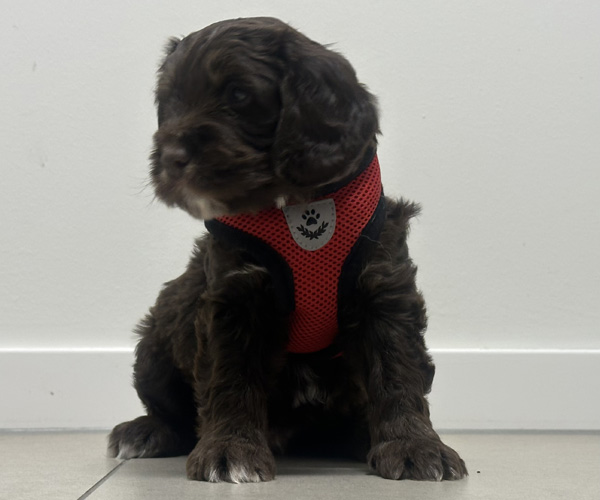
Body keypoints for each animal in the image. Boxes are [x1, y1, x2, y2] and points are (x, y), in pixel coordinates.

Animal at [108, 16, 467, 483]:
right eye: (168, 103)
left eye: (238, 95)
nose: (170, 157)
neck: (293, 205)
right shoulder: (233, 297)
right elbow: (231, 376)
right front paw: (230, 451)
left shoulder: (384, 288)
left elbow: (398, 370)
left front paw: (415, 446)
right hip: (159, 331)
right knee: (169, 408)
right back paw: (145, 431)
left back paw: (359, 438)